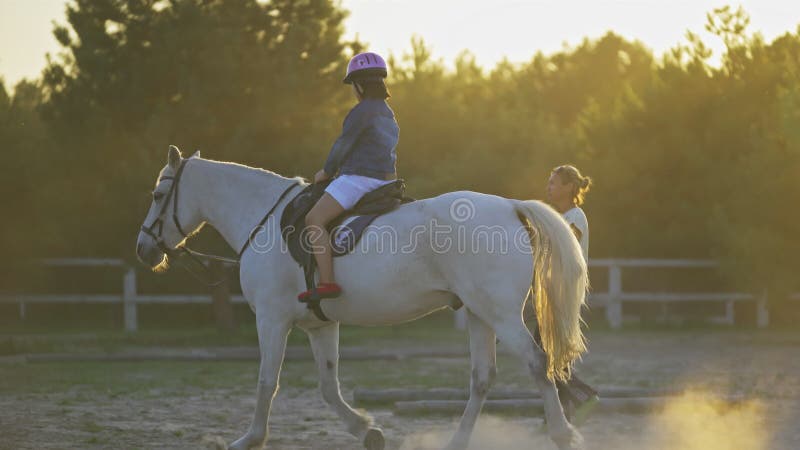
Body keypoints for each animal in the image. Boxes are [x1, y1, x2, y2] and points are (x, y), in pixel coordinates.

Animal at [136, 146, 588, 448]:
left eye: (157, 196)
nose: (144, 249)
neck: (262, 218)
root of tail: (510, 206)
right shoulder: (319, 325)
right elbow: (328, 386)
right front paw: (367, 430)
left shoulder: (271, 319)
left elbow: (267, 381)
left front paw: (251, 438)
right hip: (481, 314)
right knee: (482, 378)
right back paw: (457, 441)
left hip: (502, 316)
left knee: (538, 363)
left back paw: (563, 434)